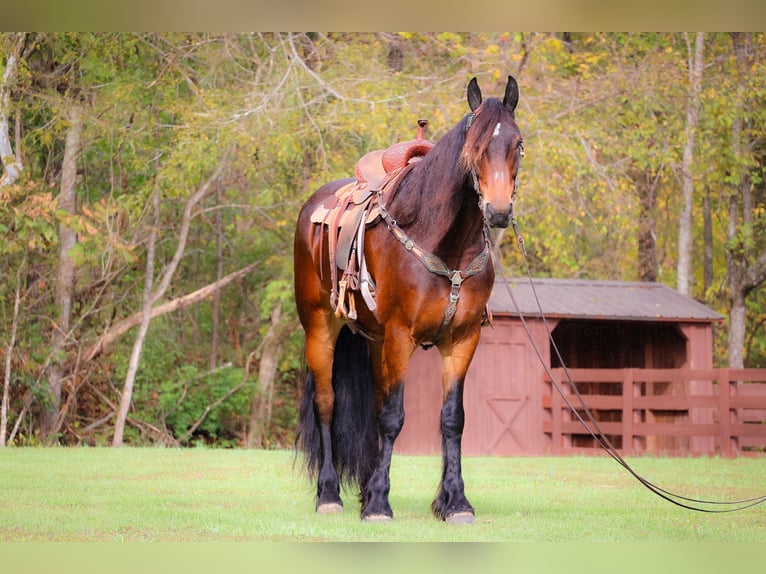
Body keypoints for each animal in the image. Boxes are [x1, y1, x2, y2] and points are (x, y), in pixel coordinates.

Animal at [293, 76, 524, 523]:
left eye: (518, 143)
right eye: (474, 145)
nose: (499, 210)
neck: (446, 244)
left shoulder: (462, 340)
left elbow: (452, 419)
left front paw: (455, 501)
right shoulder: (402, 337)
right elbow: (393, 418)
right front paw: (380, 504)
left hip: (375, 341)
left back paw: (364, 488)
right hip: (320, 328)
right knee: (327, 404)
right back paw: (330, 494)